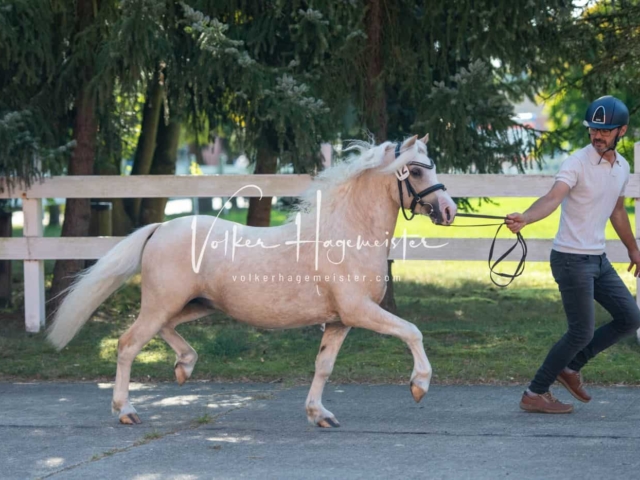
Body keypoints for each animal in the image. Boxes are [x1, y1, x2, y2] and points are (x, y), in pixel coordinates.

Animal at [48, 133, 456, 426]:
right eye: (416, 171)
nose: (449, 210)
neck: (346, 235)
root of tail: (160, 228)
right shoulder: (360, 311)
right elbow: (412, 332)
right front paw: (419, 385)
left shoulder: (340, 321)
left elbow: (323, 366)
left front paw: (319, 415)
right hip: (162, 304)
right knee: (128, 344)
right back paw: (126, 410)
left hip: (194, 305)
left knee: (165, 330)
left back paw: (184, 366)